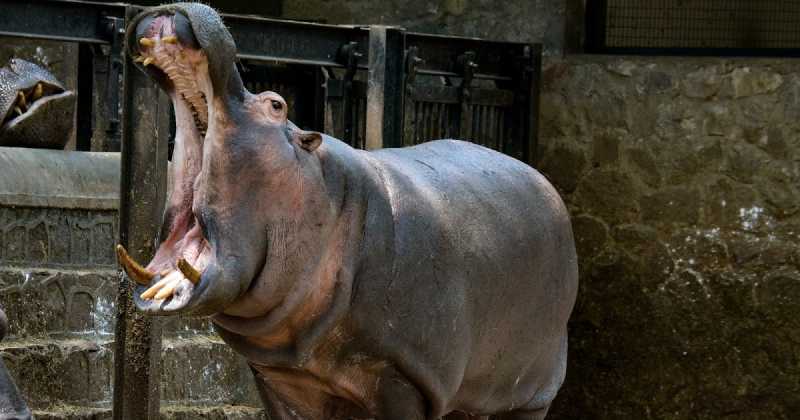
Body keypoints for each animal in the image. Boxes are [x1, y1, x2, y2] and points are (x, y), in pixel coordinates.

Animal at [116, 4, 578, 419]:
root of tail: (547, 186)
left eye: (276, 104)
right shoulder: (281, 377)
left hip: (531, 394)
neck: (328, 199)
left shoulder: (401, 377)